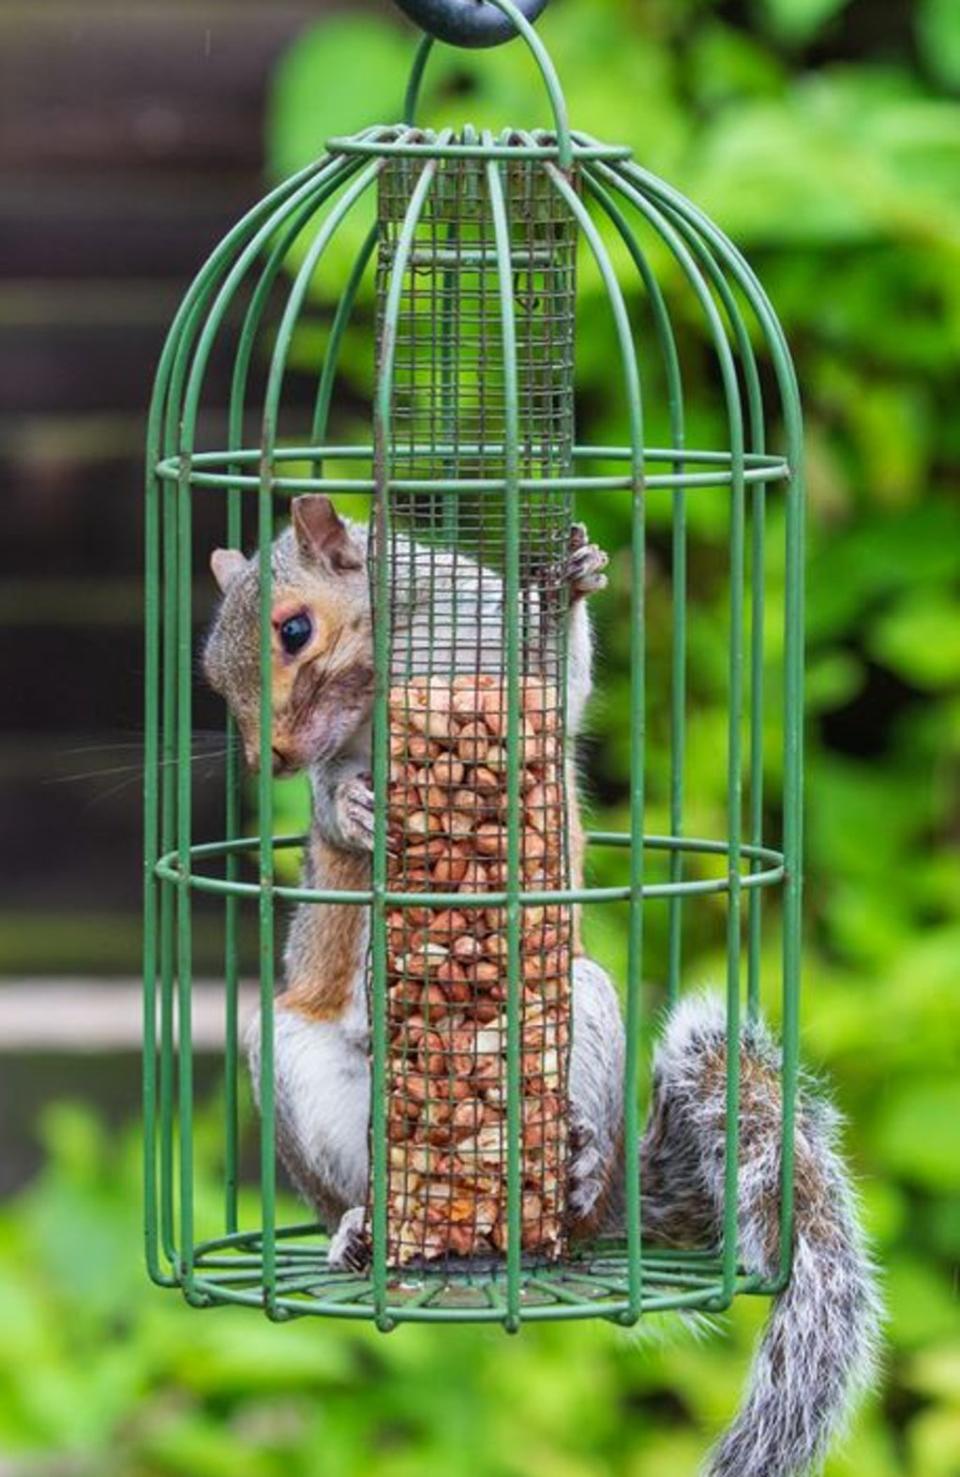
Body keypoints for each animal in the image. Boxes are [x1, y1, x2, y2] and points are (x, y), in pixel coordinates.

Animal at [205, 496, 880, 1477]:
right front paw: (352, 810)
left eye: (295, 630)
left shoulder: (500, 650)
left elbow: (561, 678)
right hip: (290, 1061)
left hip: (582, 1006)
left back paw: (576, 1176)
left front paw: (572, 582)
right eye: (213, 677)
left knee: (581, 1177)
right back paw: (359, 1226)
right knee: (350, 1186)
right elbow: (333, 807)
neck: (402, 640)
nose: (275, 761)